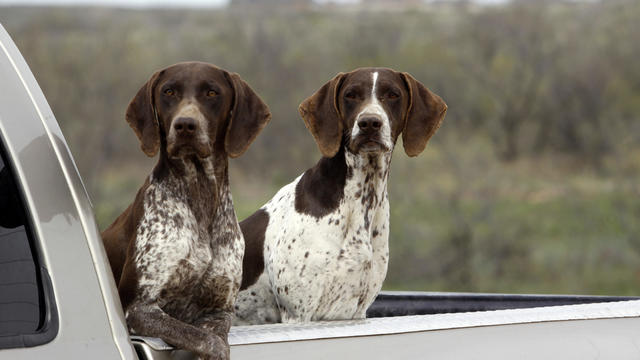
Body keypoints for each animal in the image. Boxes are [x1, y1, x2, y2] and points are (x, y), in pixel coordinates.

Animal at [102, 62, 270, 360]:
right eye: (168, 91)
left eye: (212, 93)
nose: (185, 125)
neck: (199, 194)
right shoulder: (139, 307)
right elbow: (206, 340)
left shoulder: (219, 309)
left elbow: (214, 337)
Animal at [232, 67, 448, 324]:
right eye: (351, 95)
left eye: (393, 95)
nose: (369, 123)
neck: (362, 197)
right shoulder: (298, 313)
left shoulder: (355, 311)